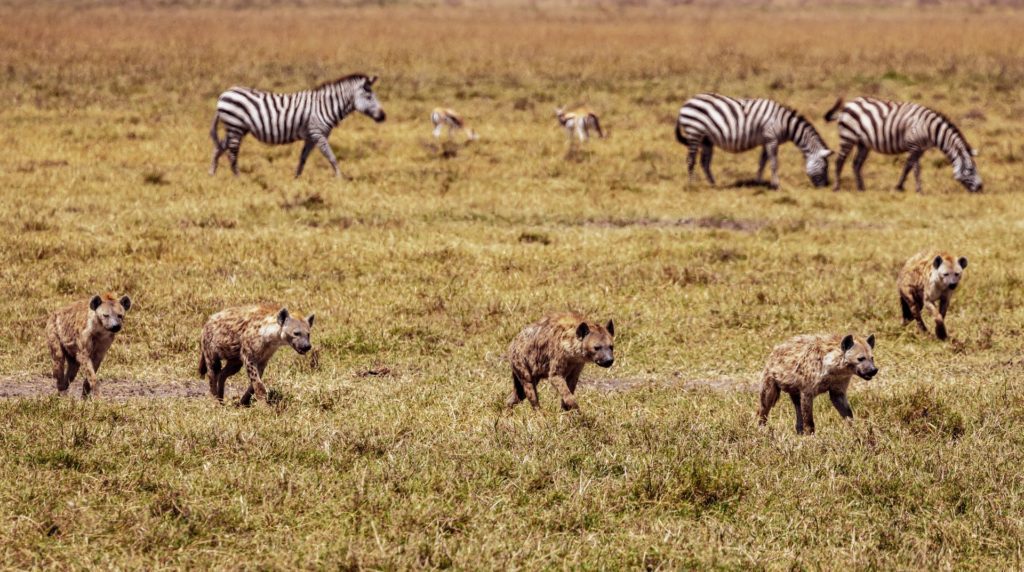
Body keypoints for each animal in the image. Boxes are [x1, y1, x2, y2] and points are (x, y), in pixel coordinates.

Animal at [209, 73, 385, 178]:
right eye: (369, 97)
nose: (383, 116)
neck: (326, 106)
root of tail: (224, 94)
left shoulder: (311, 137)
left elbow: (302, 158)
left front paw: (296, 178)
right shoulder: (318, 134)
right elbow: (332, 157)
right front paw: (340, 178)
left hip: (236, 128)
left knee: (219, 148)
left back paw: (212, 174)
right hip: (235, 126)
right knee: (232, 153)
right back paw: (238, 179)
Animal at [671, 93, 831, 189]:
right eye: (824, 167)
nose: (825, 186)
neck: (785, 123)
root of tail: (685, 103)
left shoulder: (767, 140)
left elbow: (762, 162)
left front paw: (758, 182)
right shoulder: (771, 139)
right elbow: (773, 163)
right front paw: (776, 185)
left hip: (706, 139)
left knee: (705, 162)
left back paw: (713, 185)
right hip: (694, 132)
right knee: (691, 160)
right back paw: (692, 185)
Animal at [823, 97, 983, 193]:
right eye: (970, 169)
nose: (981, 188)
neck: (930, 129)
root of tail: (846, 106)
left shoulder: (920, 149)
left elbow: (911, 168)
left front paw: (907, 187)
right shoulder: (914, 145)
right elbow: (912, 168)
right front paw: (911, 188)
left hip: (863, 143)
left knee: (856, 164)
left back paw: (861, 188)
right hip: (847, 137)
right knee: (839, 161)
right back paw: (837, 187)